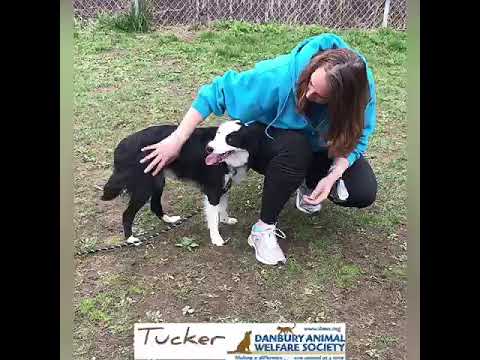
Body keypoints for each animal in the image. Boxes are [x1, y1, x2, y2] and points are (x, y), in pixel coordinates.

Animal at [99, 119, 260, 246]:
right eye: (218, 134)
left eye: (230, 139)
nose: (209, 148)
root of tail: (120, 147)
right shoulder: (213, 191)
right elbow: (214, 217)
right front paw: (216, 239)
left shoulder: (224, 187)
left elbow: (223, 207)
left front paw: (226, 220)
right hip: (143, 188)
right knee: (127, 214)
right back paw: (130, 239)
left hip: (157, 182)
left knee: (154, 205)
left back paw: (169, 219)